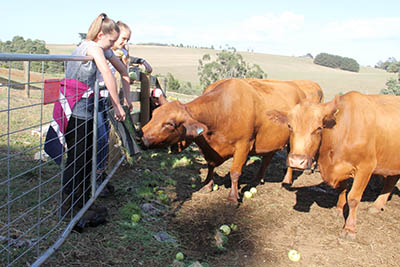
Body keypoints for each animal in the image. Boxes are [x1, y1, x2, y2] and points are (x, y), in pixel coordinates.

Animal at [141, 78, 322, 204]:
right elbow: (211, 165)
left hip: (294, 138)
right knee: (267, 157)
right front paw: (207, 185)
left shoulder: (244, 144)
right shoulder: (209, 148)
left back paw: (286, 180)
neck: (221, 111)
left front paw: (233, 197)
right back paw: (257, 179)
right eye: (154, 113)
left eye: (170, 124)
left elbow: (235, 172)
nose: (140, 136)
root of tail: (298, 88)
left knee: (292, 156)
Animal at [266, 91, 400, 238]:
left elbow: (353, 198)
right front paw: (339, 209)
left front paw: (349, 228)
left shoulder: (365, 167)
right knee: (392, 179)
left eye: (319, 128)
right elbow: (342, 188)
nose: (297, 161)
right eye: (290, 126)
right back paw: (377, 205)